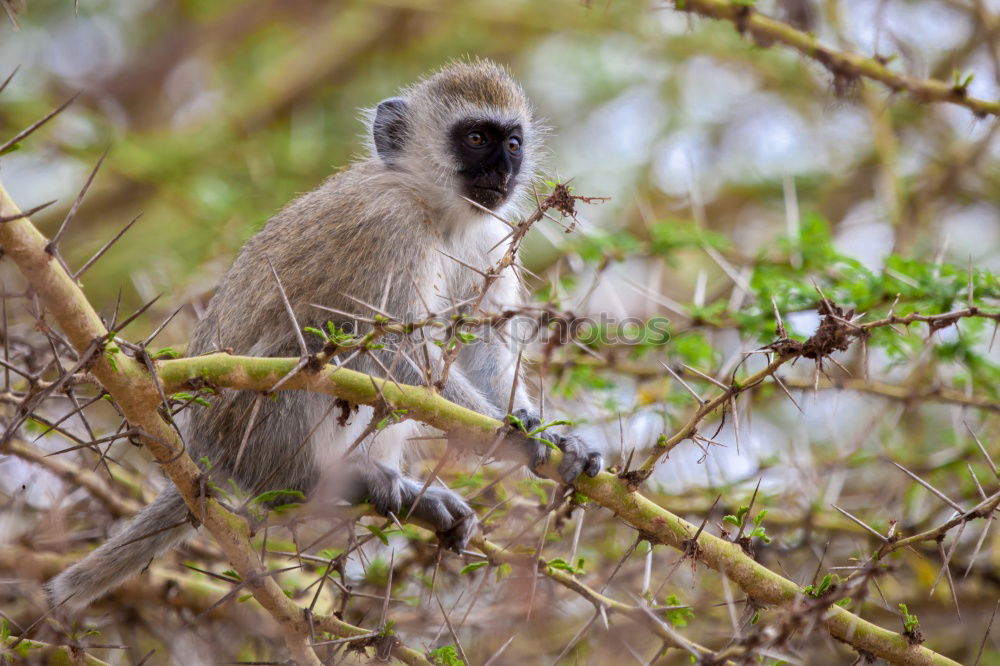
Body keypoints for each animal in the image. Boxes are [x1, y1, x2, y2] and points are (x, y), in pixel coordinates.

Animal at [47, 59, 600, 608]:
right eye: (477, 137)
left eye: (513, 143)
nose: (503, 172)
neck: (434, 208)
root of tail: (207, 454)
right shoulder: (389, 229)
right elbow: (391, 351)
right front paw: (508, 436)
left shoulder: (489, 236)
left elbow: (481, 343)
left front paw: (546, 431)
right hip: (249, 431)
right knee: (310, 359)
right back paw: (310, 483)